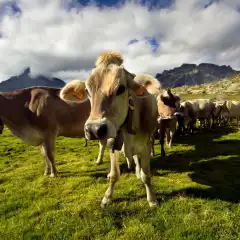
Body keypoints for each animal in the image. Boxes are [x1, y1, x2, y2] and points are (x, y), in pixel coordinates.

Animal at [61, 51, 160, 208]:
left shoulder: (145, 146)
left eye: (121, 88)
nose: (94, 129)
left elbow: (146, 176)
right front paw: (107, 198)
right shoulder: (113, 144)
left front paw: (152, 200)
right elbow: (114, 175)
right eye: (87, 91)